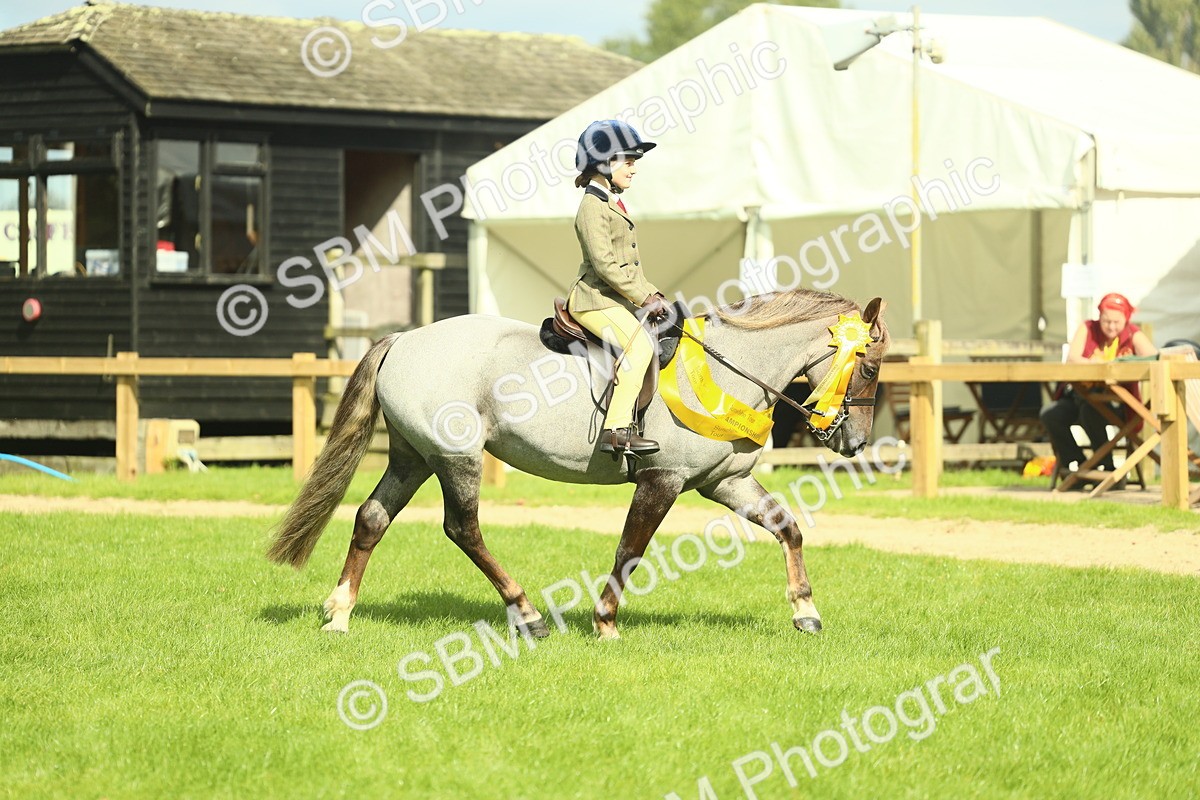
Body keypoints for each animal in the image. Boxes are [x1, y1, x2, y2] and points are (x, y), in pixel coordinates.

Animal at [267, 289, 890, 639]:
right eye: (868, 367)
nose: (855, 442)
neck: (727, 368)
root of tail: (405, 339)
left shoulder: (725, 482)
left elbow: (788, 527)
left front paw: (805, 612)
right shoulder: (662, 480)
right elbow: (630, 549)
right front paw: (606, 621)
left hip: (411, 456)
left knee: (371, 518)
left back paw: (340, 614)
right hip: (455, 457)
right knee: (463, 528)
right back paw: (526, 614)